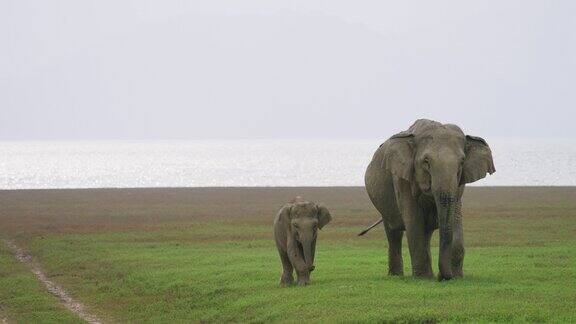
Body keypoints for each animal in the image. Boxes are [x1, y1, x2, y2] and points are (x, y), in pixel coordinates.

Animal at [364, 119, 496, 280]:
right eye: (426, 162)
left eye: (461, 162)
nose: (443, 277)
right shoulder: (402, 177)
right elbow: (413, 220)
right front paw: (422, 278)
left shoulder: (459, 183)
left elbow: (455, 217)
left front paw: (457, 277)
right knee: (394, 232)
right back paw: (396, 276)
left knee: (425, 233)